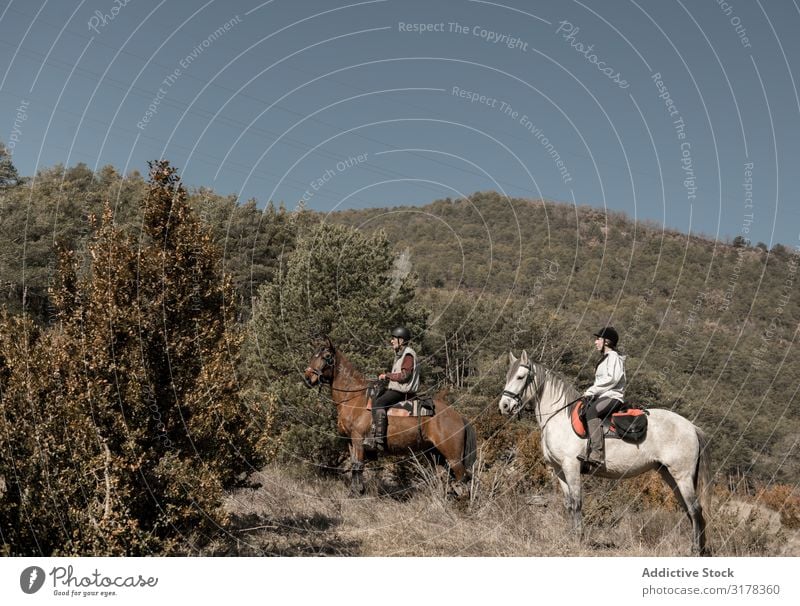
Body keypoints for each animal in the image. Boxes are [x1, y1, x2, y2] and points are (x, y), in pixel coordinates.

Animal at [302, 340, 476, 496]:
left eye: (326, 356)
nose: (307, 378)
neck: (354, 399)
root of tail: (459, 417)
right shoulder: (350, 441)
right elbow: (353, 465)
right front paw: (354, 491)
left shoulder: (358, 439)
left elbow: (358, 466)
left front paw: (357, 493)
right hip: (434, 454)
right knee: (445, 478)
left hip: (453, 457)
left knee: (462, 478)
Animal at [500, 352, 712, 556]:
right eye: (508, 375)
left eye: (520, 377)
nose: (504, 406)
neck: (559, 417)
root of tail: (691, 427)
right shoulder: (559, 470)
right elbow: (569, 504)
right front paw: (571, 536)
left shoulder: (571, 466)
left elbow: (577, 503)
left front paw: (578, 539)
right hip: (668, 474)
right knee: (688, 510)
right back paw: (696, 547)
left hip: (682, 475)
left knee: (695, 509)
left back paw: (696, 550)